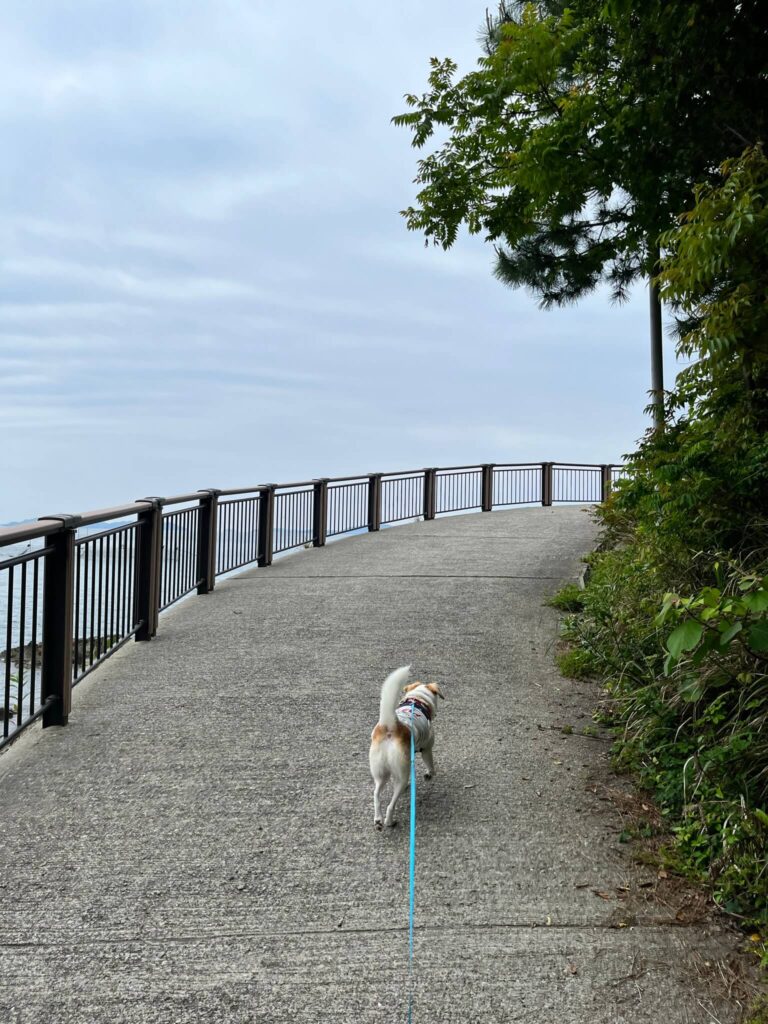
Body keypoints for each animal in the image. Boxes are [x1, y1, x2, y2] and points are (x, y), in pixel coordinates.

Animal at [368, 663, 444, 831]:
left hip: (380, 773)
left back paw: (378, 820)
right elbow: (430, 764)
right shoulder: (427, 749)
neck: (417, 700)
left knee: (376, 795)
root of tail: (391, 726)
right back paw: (389, 821)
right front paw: (430, 774)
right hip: (402, 774)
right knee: (390, 805)